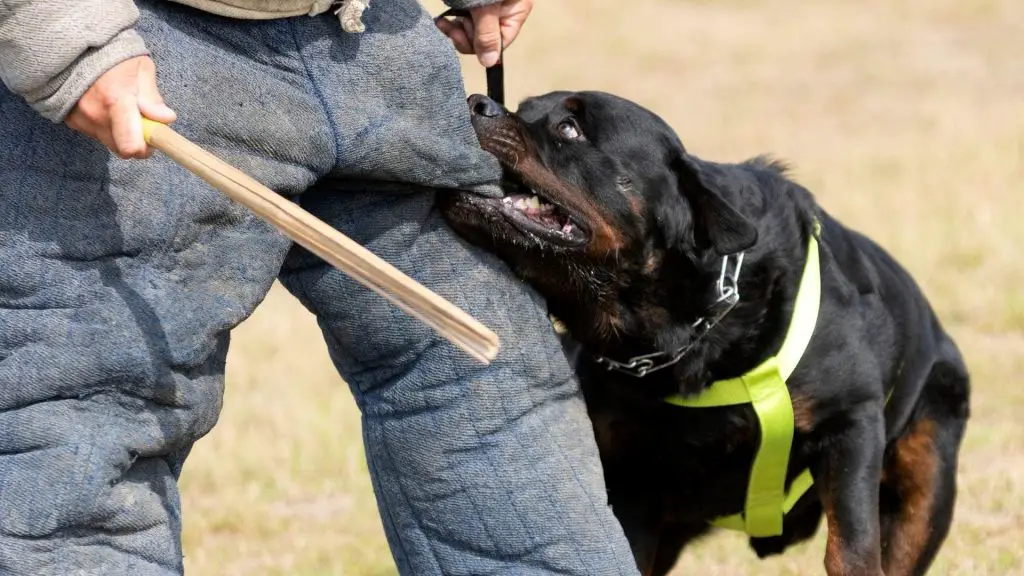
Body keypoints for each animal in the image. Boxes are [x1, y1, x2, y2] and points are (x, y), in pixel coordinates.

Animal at [438, 91, 966, 569]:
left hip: (927, 472)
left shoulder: (850, 421)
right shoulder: (632, 481)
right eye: (522, 107)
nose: (475, 101)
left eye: (570, 129)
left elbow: (851, 547)